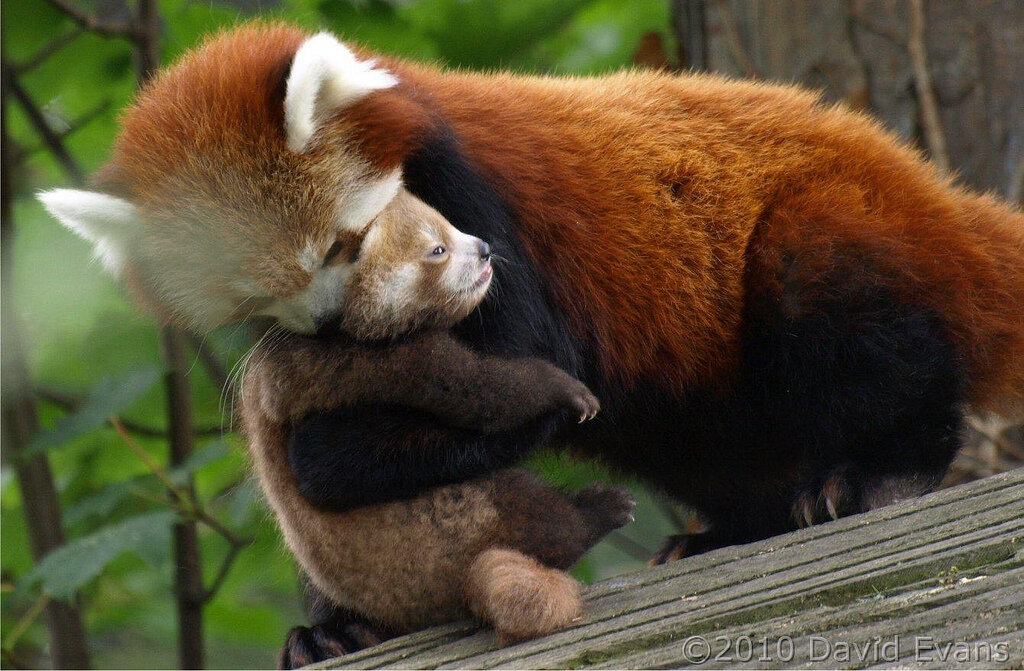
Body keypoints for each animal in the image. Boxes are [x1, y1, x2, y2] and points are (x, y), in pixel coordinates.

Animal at [239, 185, 630, 659]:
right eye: (437, 250)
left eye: (451, 224)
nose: (485, 249)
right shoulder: (377, 359)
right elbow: (478, 388)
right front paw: (559, 390)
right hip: (461, 523)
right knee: (540, 517)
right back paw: (598, 510)